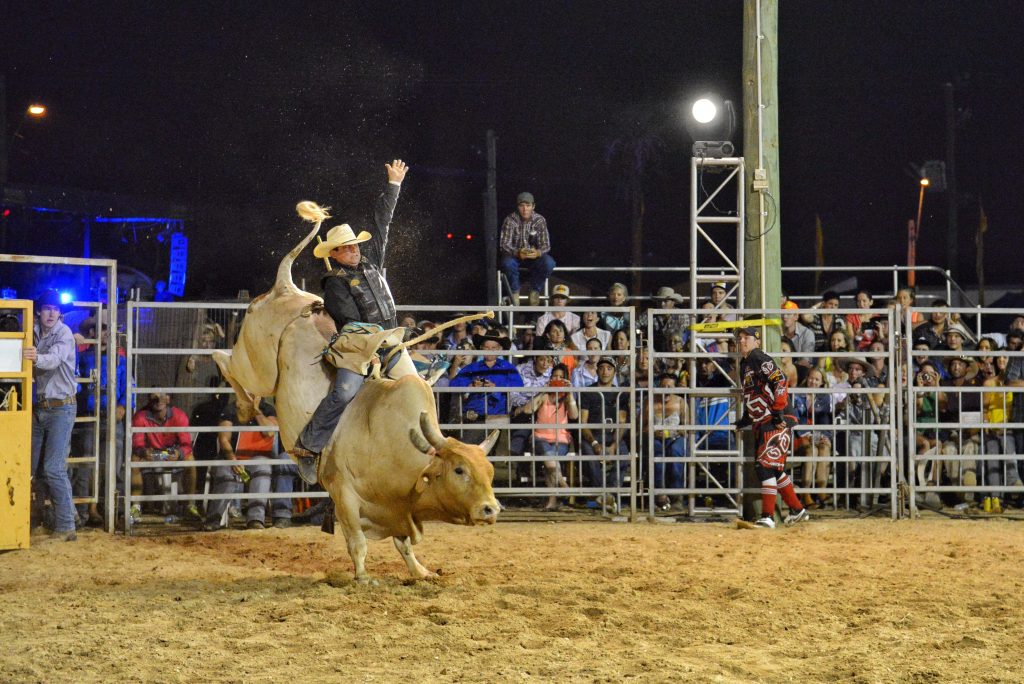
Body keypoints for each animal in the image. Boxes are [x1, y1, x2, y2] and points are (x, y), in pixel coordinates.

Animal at [214, 200, 501, 581]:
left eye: (490, 472)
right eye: (459, 471)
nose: (490, 508)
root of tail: (286, 289)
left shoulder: (396, 510)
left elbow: (404, 544)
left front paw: (421, 572)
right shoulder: (344, 494)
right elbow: (357, 542)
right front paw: (364, 577)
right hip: (256, 364)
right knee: (226, 361)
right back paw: (245, 406)